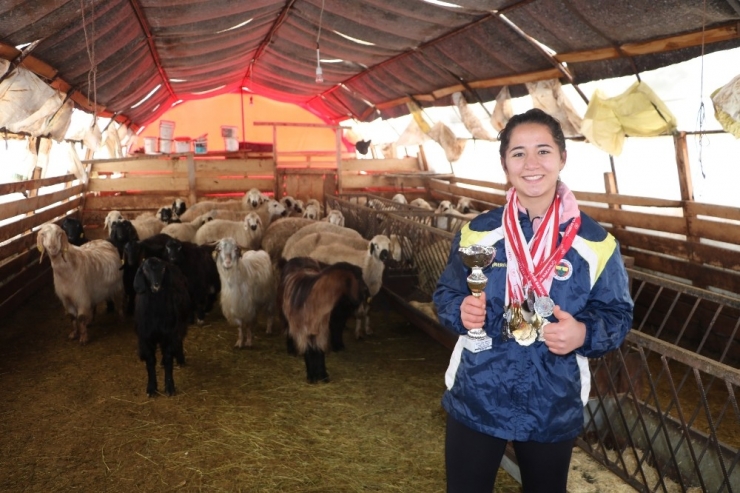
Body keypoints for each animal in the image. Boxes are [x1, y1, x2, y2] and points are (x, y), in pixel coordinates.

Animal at [133, 258, 191, 396]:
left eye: (163, 269)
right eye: (145, 270)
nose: (156, 285)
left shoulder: (169, 334)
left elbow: (169, 359)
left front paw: (169, 387)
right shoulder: (146, 337)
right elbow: (150, 361)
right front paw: (151, 388)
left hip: (180, 323)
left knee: (179, 340)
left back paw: (180, 359)